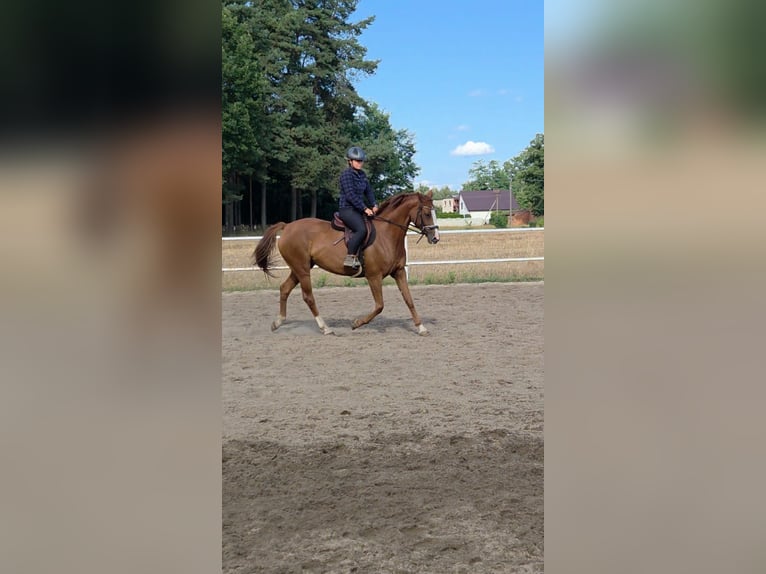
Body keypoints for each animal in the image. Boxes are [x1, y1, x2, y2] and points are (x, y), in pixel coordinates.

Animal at [252, 190, 440, 335]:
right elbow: (379, 306)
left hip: (299, 268)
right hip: (302, 269)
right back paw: (325, 328)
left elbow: (409, 300)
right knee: (308, 297)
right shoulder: (374, 276)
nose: (436, 238)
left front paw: (421, 328)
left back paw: (278, 323)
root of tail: (287, 226)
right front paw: (356, 323)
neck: (387, 234)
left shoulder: (399, 272)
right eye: (426, 213)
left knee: (284, 289)